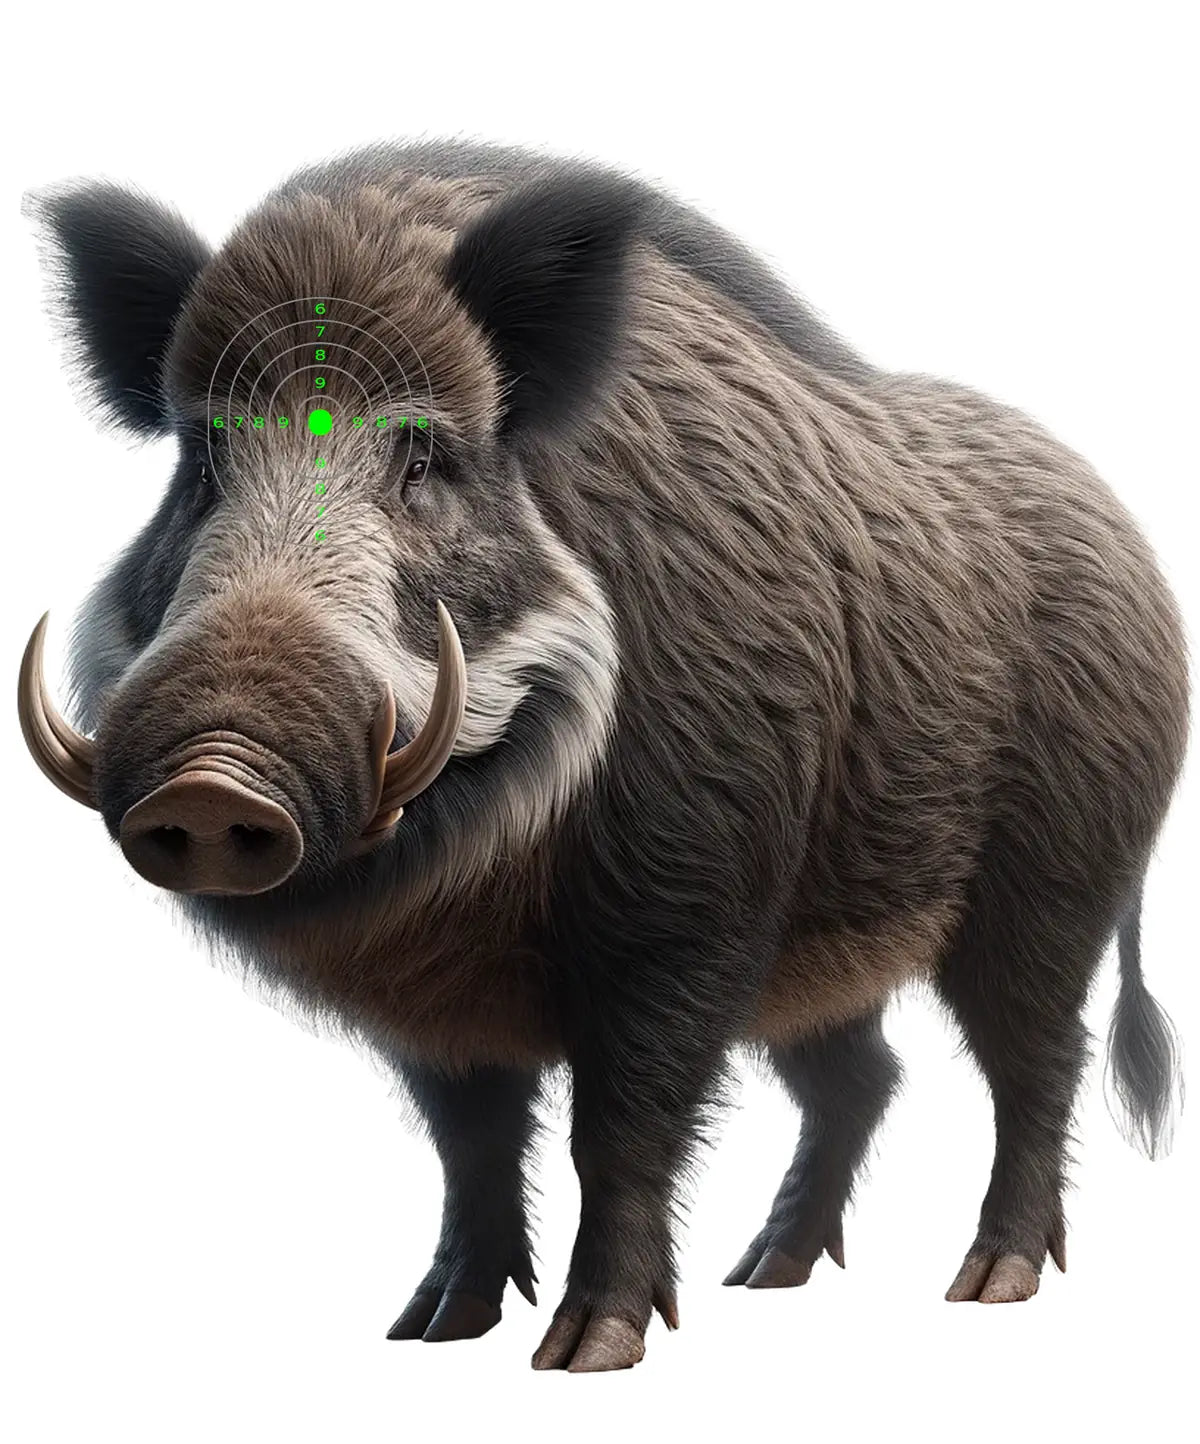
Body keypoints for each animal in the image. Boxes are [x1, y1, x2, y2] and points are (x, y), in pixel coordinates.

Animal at [18, 138, 1188, 1372]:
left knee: (1036, 1058)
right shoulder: (431, 991)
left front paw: (588, 1350)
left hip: (1053, 881)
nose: (210, 775)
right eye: (202, 459)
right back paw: (764, 1273)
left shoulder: (685, 910)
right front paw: (430, 1329)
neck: (483, 866)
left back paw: (989, 1283)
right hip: (830, 939)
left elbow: (621, 1127)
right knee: (863, 1077)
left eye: (423, 457)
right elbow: (472, 1144)